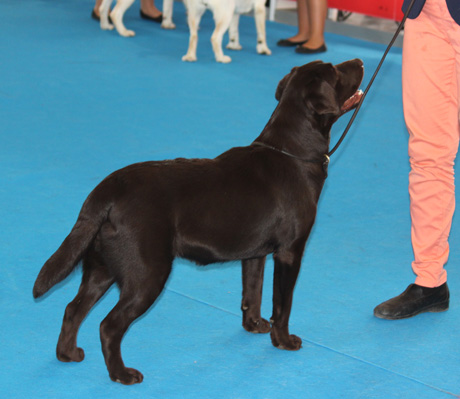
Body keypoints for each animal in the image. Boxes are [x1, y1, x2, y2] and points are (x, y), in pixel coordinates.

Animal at [31, 59, 362, 384]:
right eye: (335, 71)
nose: (359, 61)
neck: (293, 153)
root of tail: (108, 190)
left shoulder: (255, 253)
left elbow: (252, 292)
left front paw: (254, 325)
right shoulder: (290, 251)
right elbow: (282, 302)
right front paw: (284, 341)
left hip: (101, 267)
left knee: (73, 309)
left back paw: (68, 354)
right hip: (147, 274)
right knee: (108, 325)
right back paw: (122, 374)